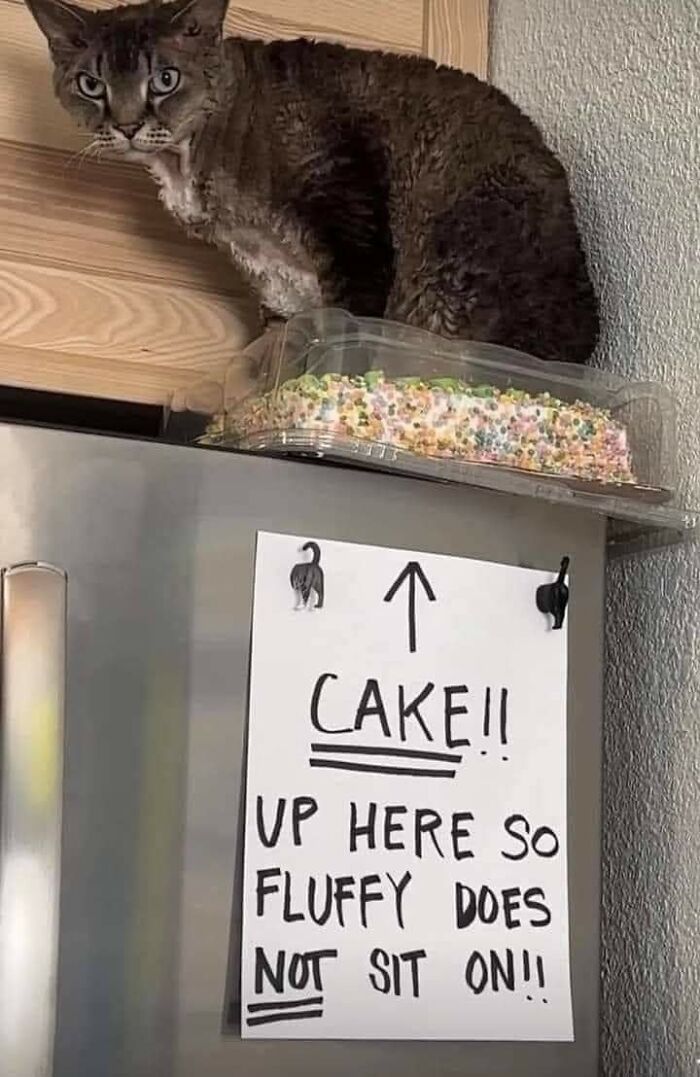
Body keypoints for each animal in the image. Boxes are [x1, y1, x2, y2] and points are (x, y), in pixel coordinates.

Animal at [25, 0, 594, 364]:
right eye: (91, 84)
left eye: (165, 79)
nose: (125, 125)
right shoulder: (272, 273)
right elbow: (283, 335)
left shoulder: (345, 211)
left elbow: (353, 324)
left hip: (452, 274)